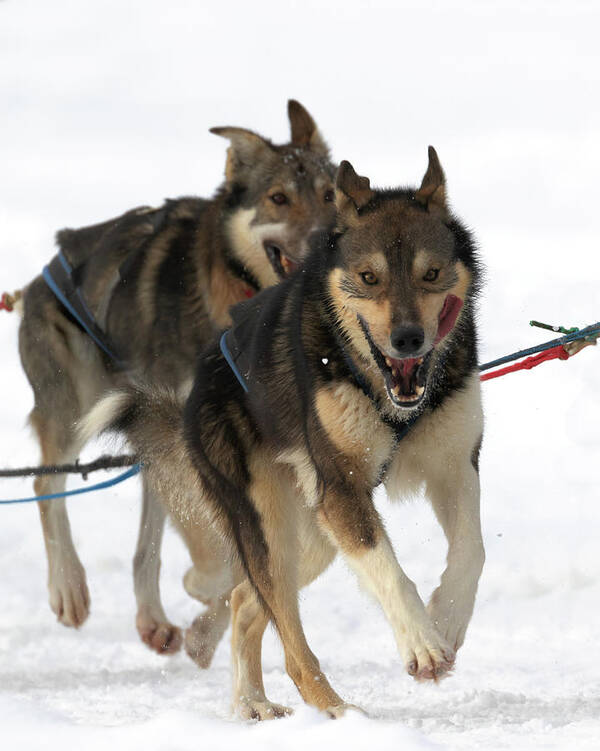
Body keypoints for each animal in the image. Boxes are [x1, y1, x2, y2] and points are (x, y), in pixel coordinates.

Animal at [16, 98, 338, 656]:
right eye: (278, 198)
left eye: (327, 194)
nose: (323, 238)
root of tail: (52, 261)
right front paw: (209, 593)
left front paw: (208, 622)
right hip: (77, 407)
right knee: (44, 480)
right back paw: (69, 586)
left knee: (147, 542)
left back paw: (154, 617)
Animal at [84, 150, 486, 720]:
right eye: (369, 277)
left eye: (430, 274)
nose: (408, 339)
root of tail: (196, 388)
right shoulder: (342, 491)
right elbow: (389, 570)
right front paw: (423, 642)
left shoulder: (454, 466)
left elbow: (472, 550)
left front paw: (447, 619)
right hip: (276, 525)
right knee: (292, 646)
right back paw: (337, 712)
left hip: (311, 536)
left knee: (246, 602)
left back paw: (251, 701)